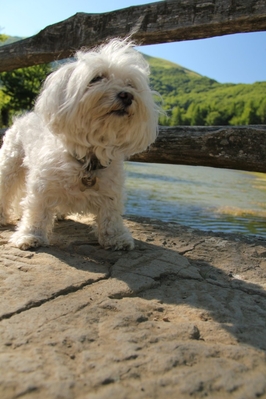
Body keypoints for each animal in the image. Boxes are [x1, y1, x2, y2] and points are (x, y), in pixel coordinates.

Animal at [0, 37, 158, 250]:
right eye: (97, 78)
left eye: (130, 84)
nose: (127, 95)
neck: (87, 158)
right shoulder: (42, 185)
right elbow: (37, 210)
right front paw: (30, 235)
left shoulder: (111, 189)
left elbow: (111, 214)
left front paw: (116, 237)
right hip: (10, 166)